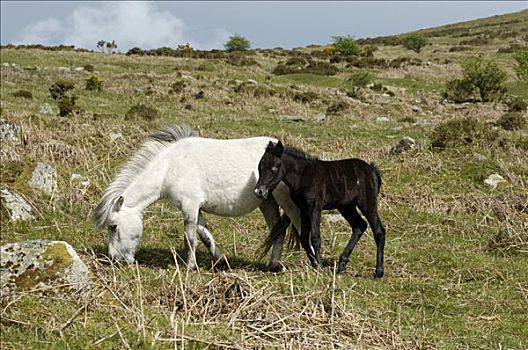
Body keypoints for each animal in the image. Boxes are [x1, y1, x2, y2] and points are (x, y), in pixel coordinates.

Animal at [94, 125, 302, 270]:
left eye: (113, 226)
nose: (114, 259)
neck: (170, 167)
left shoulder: (189, 206)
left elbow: (190, 238)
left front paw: (190, 266)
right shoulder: (195, 208)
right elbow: (205, 235)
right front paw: (220, 261)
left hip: (286, 203)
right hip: (266, 202)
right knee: (277, 230)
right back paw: (273, 265)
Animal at [254, 141, 386, 278]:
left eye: (274, 169)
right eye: (259, 168)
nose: (259, 191)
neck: (303, 175)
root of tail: (372, 170)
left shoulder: (315, 208)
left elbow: (315, 237)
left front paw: (320, 267)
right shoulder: (303, 210)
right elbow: (304, 238)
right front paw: (314, 265)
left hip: (367, 203)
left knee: (378, 231)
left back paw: (378, 272)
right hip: (346, 206)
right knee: (359, 225)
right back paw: (342, 266)